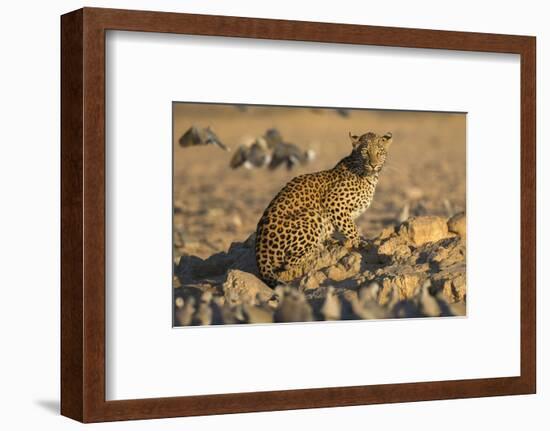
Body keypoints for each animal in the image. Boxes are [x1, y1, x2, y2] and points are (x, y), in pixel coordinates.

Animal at [256, 132, 394, 286]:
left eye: (379, 152)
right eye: (365, 151)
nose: (373, 164)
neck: (369, 177)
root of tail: (260, 253)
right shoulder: (334, 203)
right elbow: (351, 228)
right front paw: (359, 242)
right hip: (312, 214)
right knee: (289, 262)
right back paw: (319, 248)